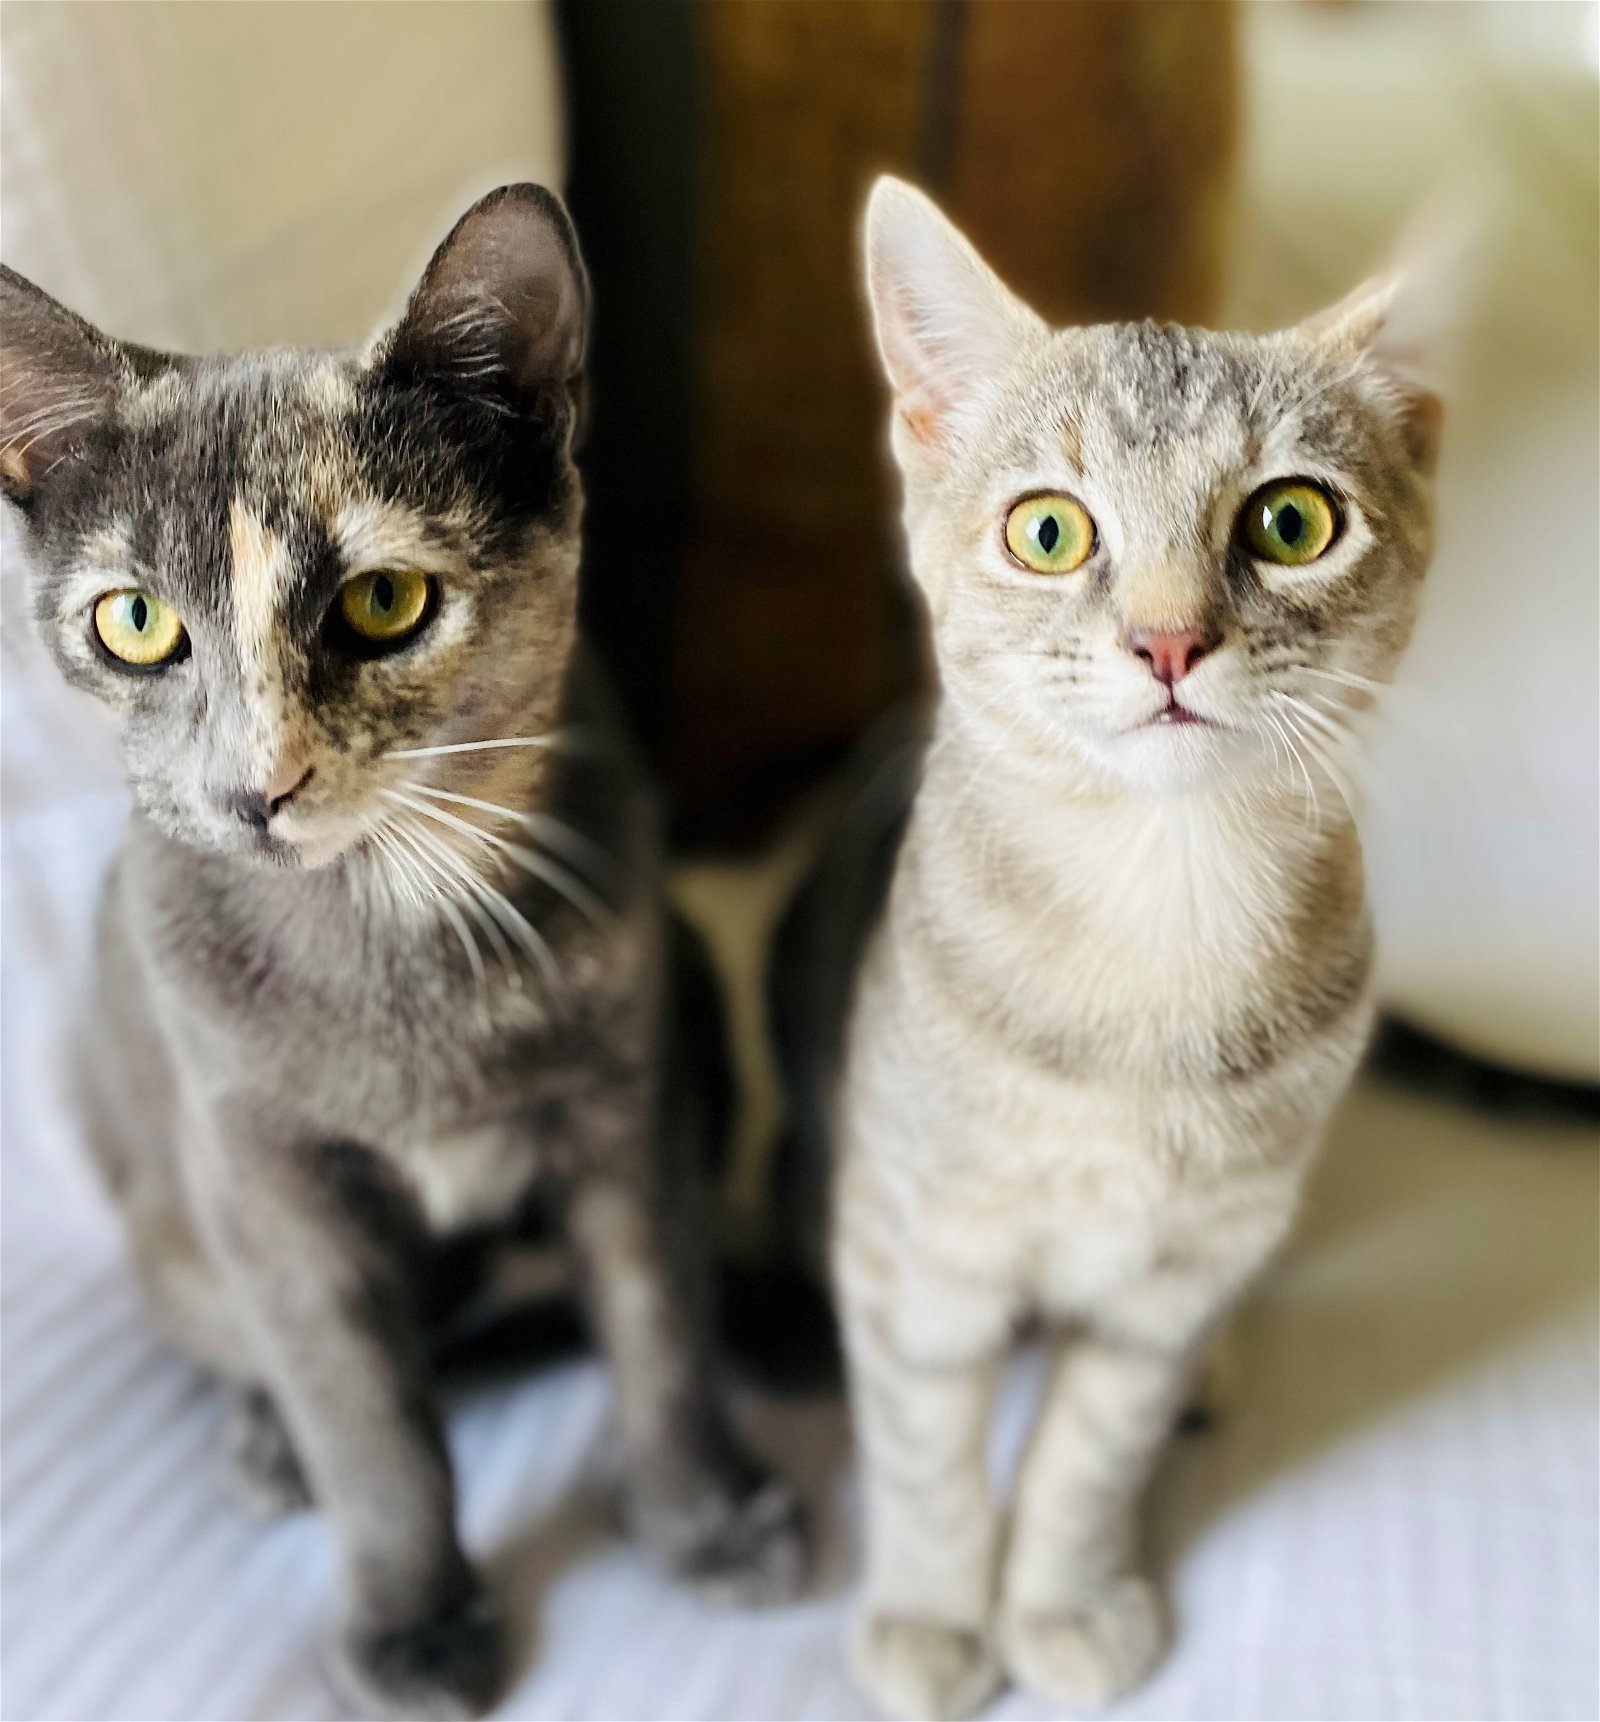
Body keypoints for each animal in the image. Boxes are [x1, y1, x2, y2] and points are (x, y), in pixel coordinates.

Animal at [0, 181, 799, 1715]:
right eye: (134, 623)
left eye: (383, 604)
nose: (257, 785)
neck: (390, 936)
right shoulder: (267, 1177)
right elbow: (360, 1408)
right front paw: (412, 1621)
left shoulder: (629, 1100)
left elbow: (657, 1315)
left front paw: (706, 1512)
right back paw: (264, 1442)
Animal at [775, 178, 1446, 1722]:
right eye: (1048, 533)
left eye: (1292, 519)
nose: (1168, 642)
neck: (1158, 923)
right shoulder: (919, 1252)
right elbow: (924, 1456)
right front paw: (932, 1610)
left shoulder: (1172, 1281)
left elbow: (1091, 1454)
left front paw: (1063, 1599)